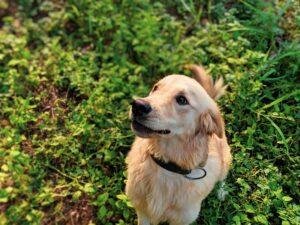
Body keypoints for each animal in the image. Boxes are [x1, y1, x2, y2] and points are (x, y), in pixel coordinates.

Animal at [124, 64, 232, 225]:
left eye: (182, 99)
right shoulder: (142, 212)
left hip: (225, 161)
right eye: (156, 88)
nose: (137, 105)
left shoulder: (182, 220)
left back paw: (221, 191)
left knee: (222, 178)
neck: (166, 167)